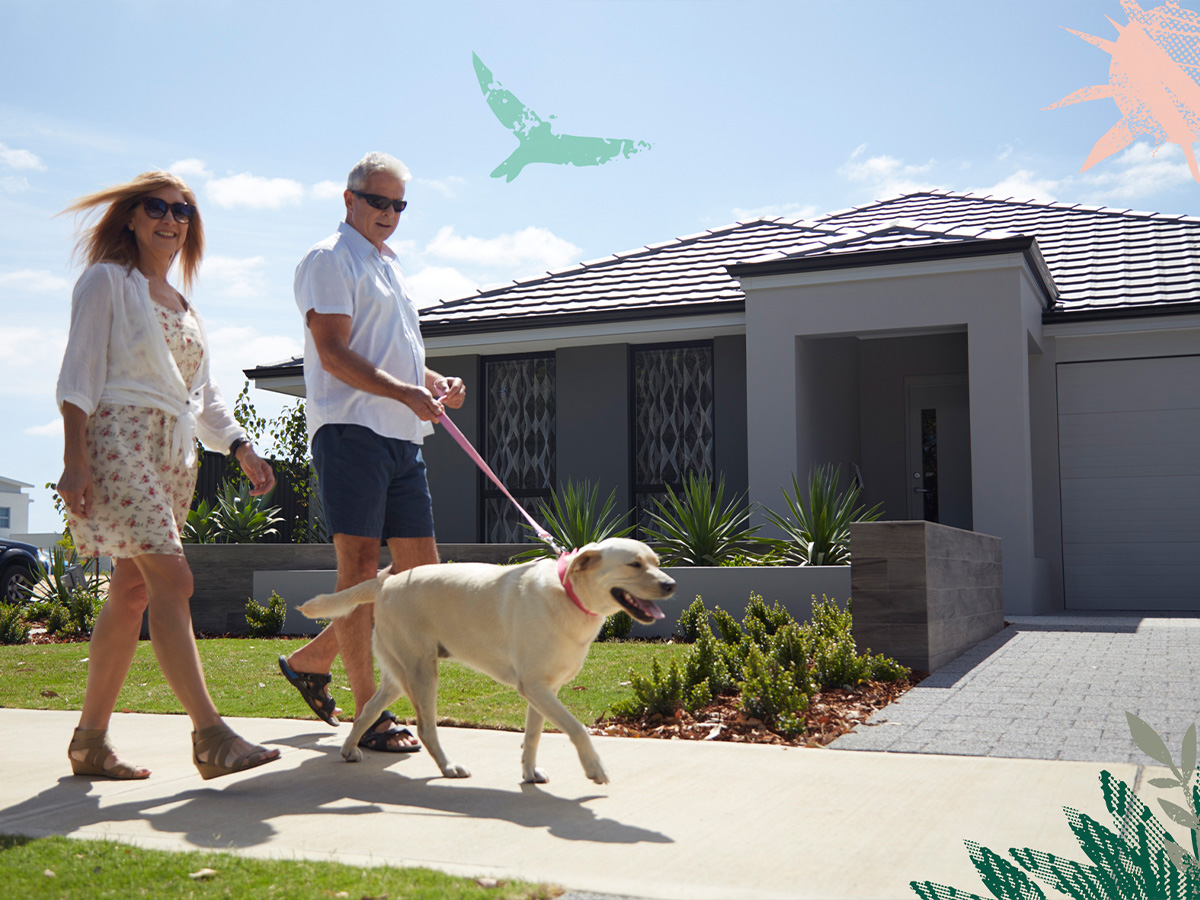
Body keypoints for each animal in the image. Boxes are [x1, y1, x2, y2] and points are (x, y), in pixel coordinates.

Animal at [298, 537, 675, 784]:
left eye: (656, 562)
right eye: (634, 564)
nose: (671, 585)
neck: (568, 594)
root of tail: (385, 582)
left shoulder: (542, 691)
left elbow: (533, 736)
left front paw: (529, 773)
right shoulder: (535, 688)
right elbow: (577, 728)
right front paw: (594, 768)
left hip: (397, 677)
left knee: (366, 711)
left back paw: (349, 749)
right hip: (422, 673)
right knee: (426, 728)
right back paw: (449, 767)